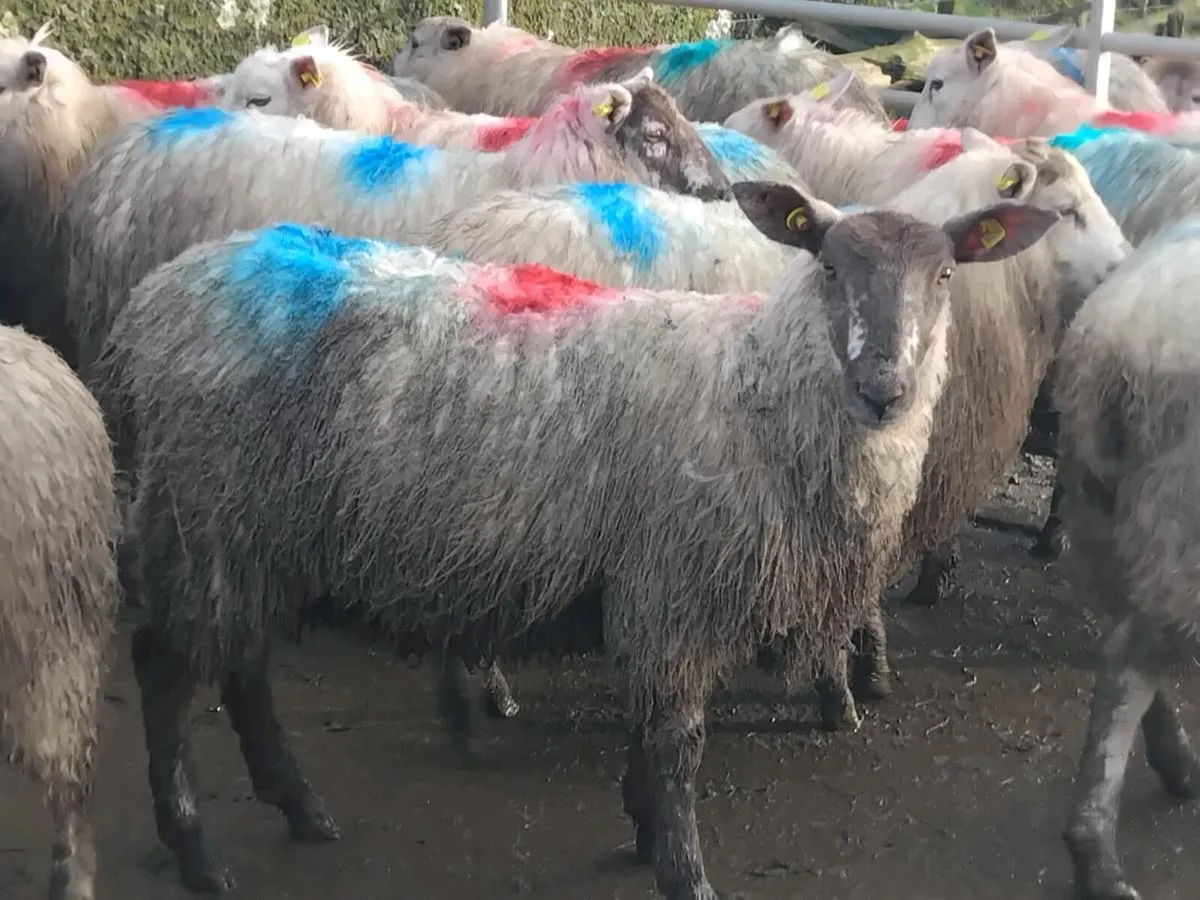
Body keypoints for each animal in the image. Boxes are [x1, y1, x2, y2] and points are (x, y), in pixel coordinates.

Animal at [95, 187, 1058, 896]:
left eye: (946, 274)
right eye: (826, 265)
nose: (883, 388)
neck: (754, 387)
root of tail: (157, 298)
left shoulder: (652, 590)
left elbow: (649, 731)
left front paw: (639, 827)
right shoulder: (674, 591)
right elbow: (677, 743)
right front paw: (681, 868)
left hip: (256, 533)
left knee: (242, 669)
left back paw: (299, 809)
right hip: (207, 515)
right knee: (166, 670)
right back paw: (196, 850)